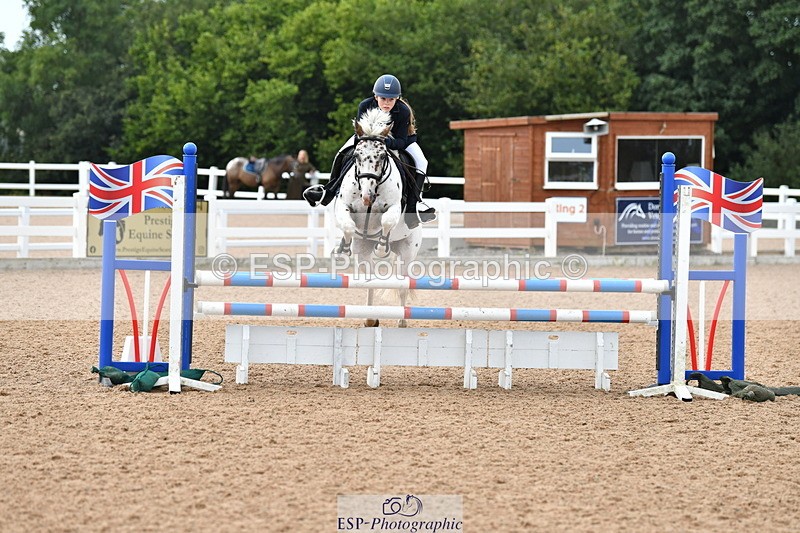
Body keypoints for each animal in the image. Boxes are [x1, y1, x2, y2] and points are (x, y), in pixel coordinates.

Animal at [333, 107, 423, 327]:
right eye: (357, 155)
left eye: (382, 156)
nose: (367, 196)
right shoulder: (343, 206)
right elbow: (348, 226)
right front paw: (342, 250)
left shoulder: (393, 208)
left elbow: (387, 221)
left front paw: (382, 248)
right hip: (364, 252)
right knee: (370, 280)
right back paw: (370, 318)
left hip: (408, 252)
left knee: (402, 285)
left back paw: (402, 322)